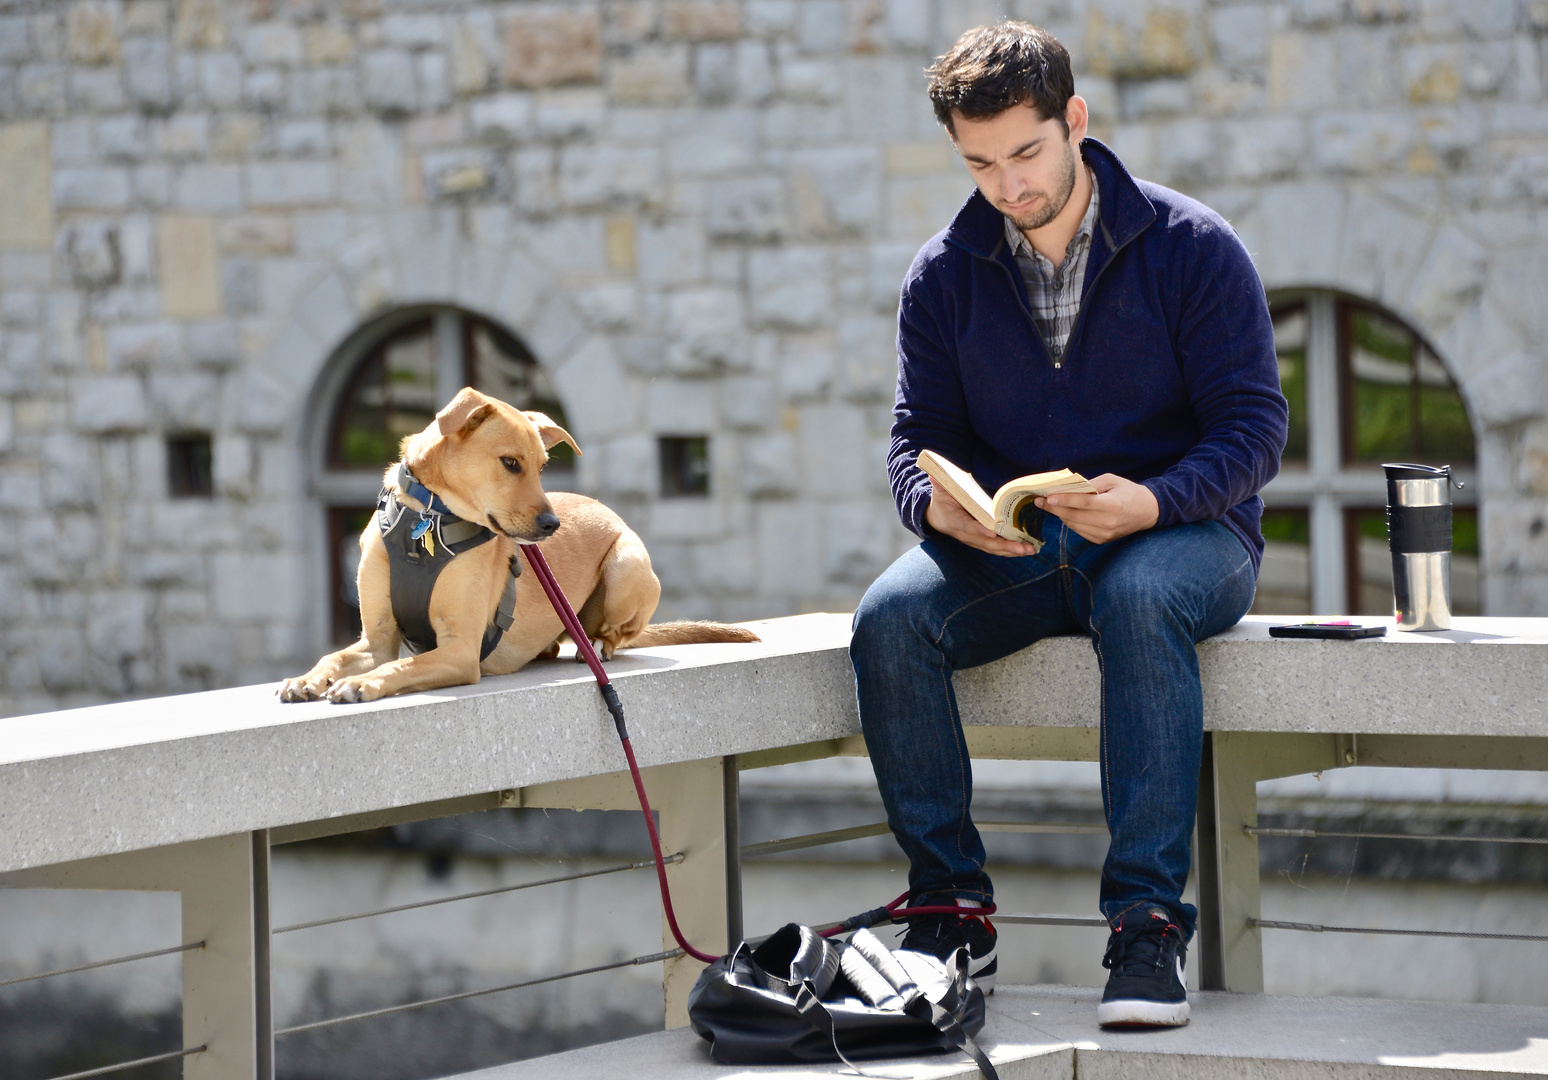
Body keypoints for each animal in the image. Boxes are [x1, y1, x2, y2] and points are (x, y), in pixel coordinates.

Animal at [283, 386, 761, 705]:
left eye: (543, 466)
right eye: (511, 463)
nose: (552, 524)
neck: (428, 520)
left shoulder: (459, 651)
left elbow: (402, 664)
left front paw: (364, 683)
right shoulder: (377, 638)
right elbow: (338, 655)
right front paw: (308, 679)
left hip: (628, 568)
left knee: (618, 633)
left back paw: (598, 646)